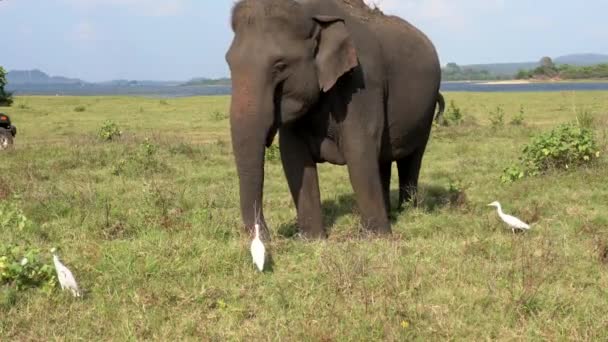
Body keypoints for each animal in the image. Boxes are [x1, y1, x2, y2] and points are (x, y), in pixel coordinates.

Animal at [227, 0, 442, 239]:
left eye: (280, 66)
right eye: (229, 63)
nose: (266, 234)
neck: (311, 12)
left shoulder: (363, 81)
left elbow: (359, 148)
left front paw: (376, 237)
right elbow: (293, 157)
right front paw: (311, 239)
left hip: (426, 112)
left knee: (411, 158)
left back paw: (408, 211)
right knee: (383, 160)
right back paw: (391, 213)